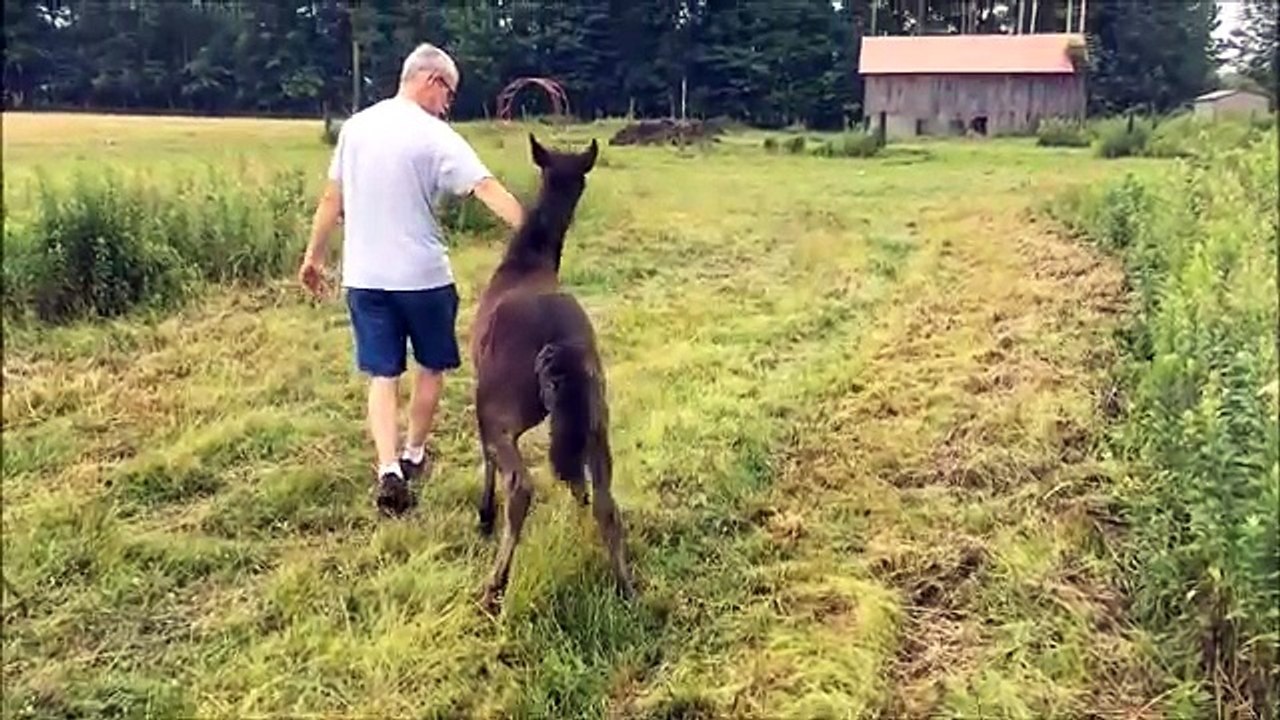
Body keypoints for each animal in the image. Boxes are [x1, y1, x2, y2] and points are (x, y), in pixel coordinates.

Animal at [468, 133, 635, 611]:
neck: (525, 264)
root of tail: (557, 341)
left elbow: (487, 459)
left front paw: (483, 517)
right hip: (597, 420)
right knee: (604, 500)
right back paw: (623, 584)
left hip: (500, 413)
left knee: (521, 487)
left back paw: (494, 587)